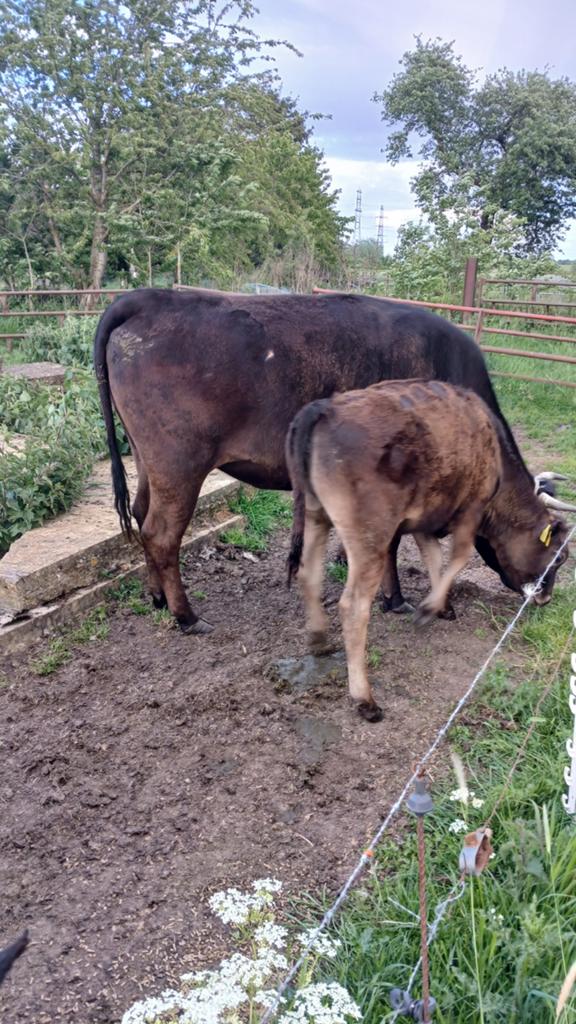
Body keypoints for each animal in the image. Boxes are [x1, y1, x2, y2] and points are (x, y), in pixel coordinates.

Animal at [94, 288, 574, 632]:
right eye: (560, 556)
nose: (546, 598)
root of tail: (147, 297)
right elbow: (395, 544)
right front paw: (403, 600)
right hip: (180, 462)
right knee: (161, 533)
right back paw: (187, 617)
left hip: (147, 458)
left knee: (140, 513)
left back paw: (157, 597)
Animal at [286, 380, 570, 722]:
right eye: (560, 556)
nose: (546, 598)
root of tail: (325, 408)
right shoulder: (471, 509)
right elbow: (457, 557)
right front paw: (428, 609)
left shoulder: (426, 517)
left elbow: (433, 556)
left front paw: (442, 606)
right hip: (369, 538)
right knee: (353, 606)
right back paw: (365, 700)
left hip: (315, 515)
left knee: (308, 574)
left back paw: (318, 638)